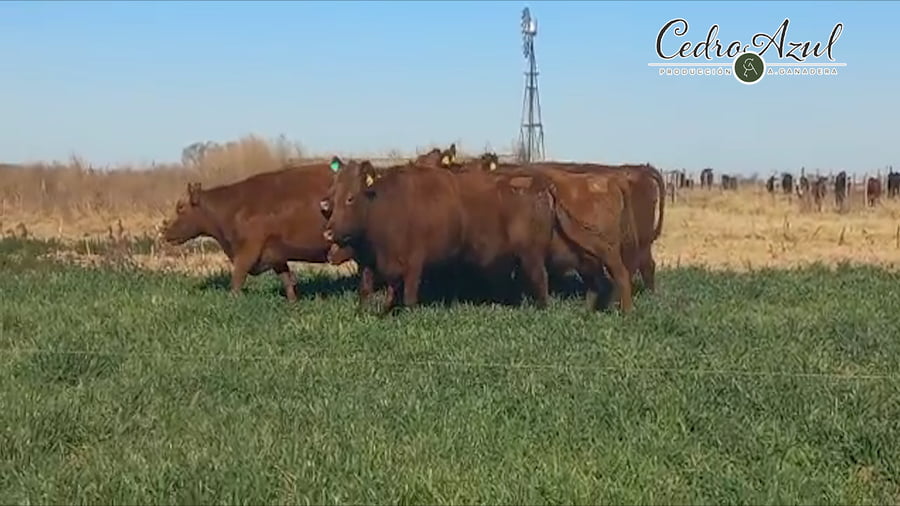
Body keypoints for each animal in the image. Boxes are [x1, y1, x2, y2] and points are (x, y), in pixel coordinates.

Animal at [161, 162, 355, 301]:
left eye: (180, 207)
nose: (165, 232)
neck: (233, 209)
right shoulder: (275, 253)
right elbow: (287, 280)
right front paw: (293, 303)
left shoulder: (248, 250)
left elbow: (237, 278)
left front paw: (232, 302)